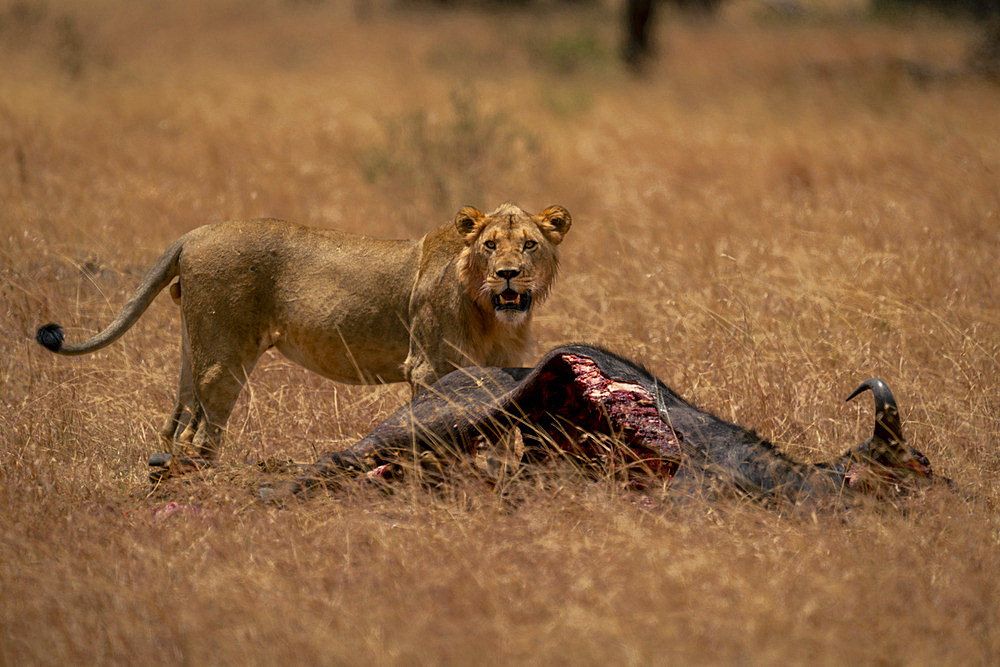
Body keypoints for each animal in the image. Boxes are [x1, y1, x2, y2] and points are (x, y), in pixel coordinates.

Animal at [37, 204, 572, 462]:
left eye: (529, 245)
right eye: (489, 246)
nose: (508, 275)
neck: (487, 310)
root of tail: (193, 233)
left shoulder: (495, 370)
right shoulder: (428, 366)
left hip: (196, 346)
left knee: (177, 421)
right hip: (224, 356)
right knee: (201, 432)